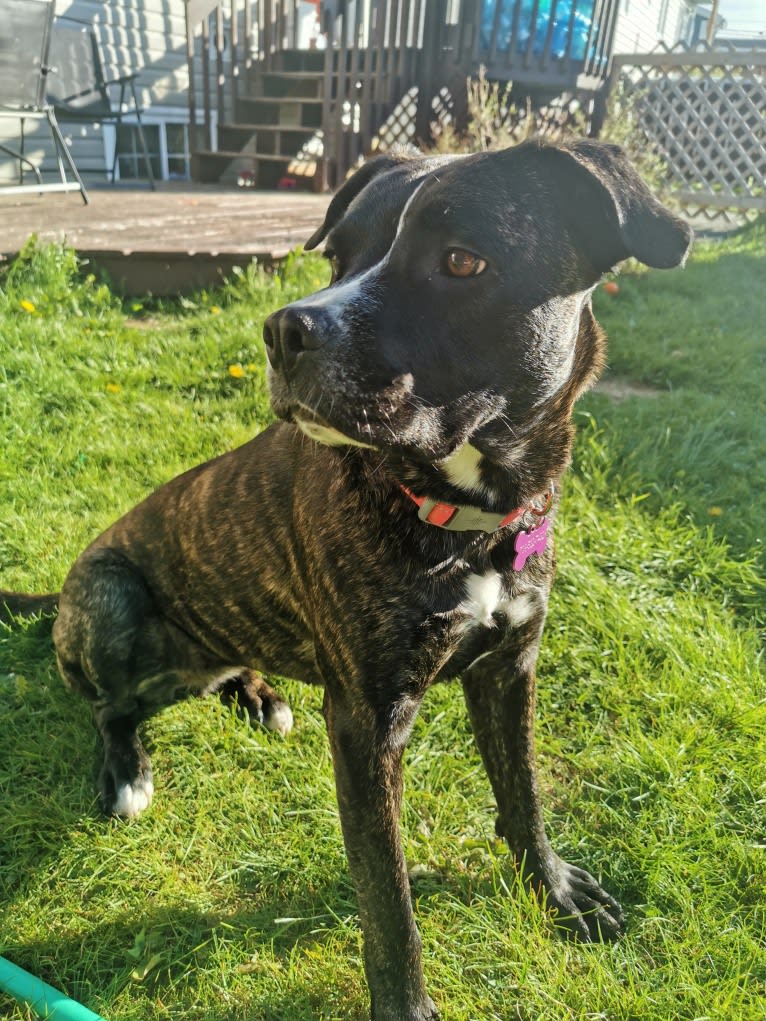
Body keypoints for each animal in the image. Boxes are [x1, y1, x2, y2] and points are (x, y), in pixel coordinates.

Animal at [1, 141, 694, 1021]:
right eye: (338, 256)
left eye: (462, 260)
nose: (283, 328)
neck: (467, 523)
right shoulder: (367, 725)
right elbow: (387, 899)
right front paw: (406, 1004)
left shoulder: (510, 670)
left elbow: (525, 795)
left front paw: (555, 890)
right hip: (109, 598)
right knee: (107, 707)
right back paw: (127, 771)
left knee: (219, 669)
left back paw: (259, 695)